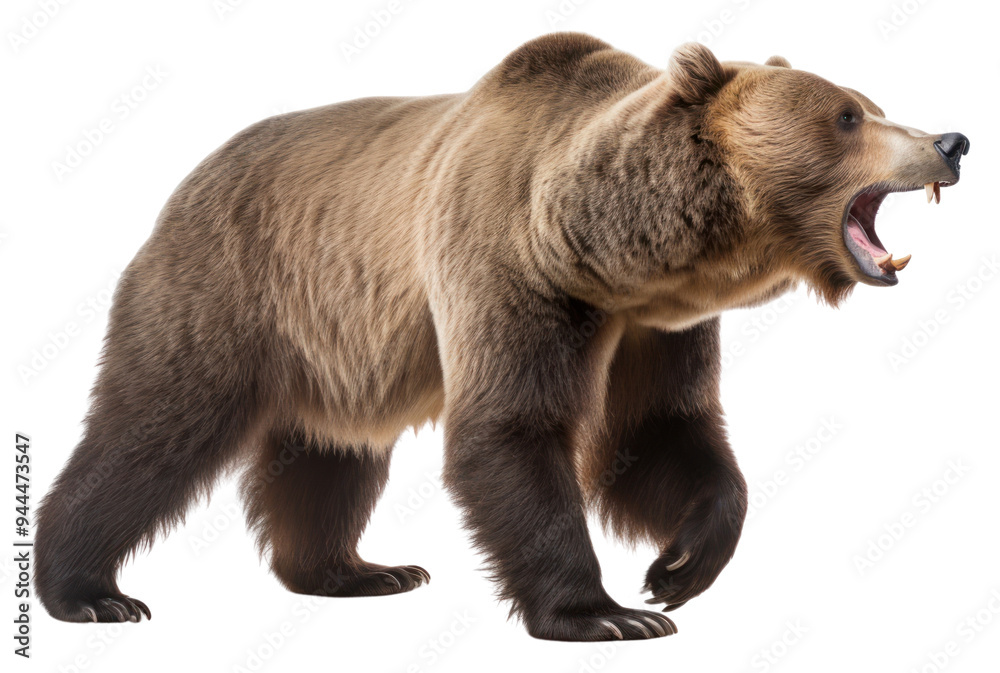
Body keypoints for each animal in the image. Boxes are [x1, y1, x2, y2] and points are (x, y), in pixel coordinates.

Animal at [35, 32, 969, 640]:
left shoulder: (655, 327)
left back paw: (356, 570)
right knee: (155, 427)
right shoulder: (513, 267)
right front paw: (606, 612)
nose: (952, 139)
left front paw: (678, 568)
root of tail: (193, 171)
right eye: (848, 114)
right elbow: (514, 428)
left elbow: (660, 433)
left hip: (330, 339)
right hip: (227, 284)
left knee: (331, 452)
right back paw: (87, 590)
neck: (619, 253)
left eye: (872, 102)